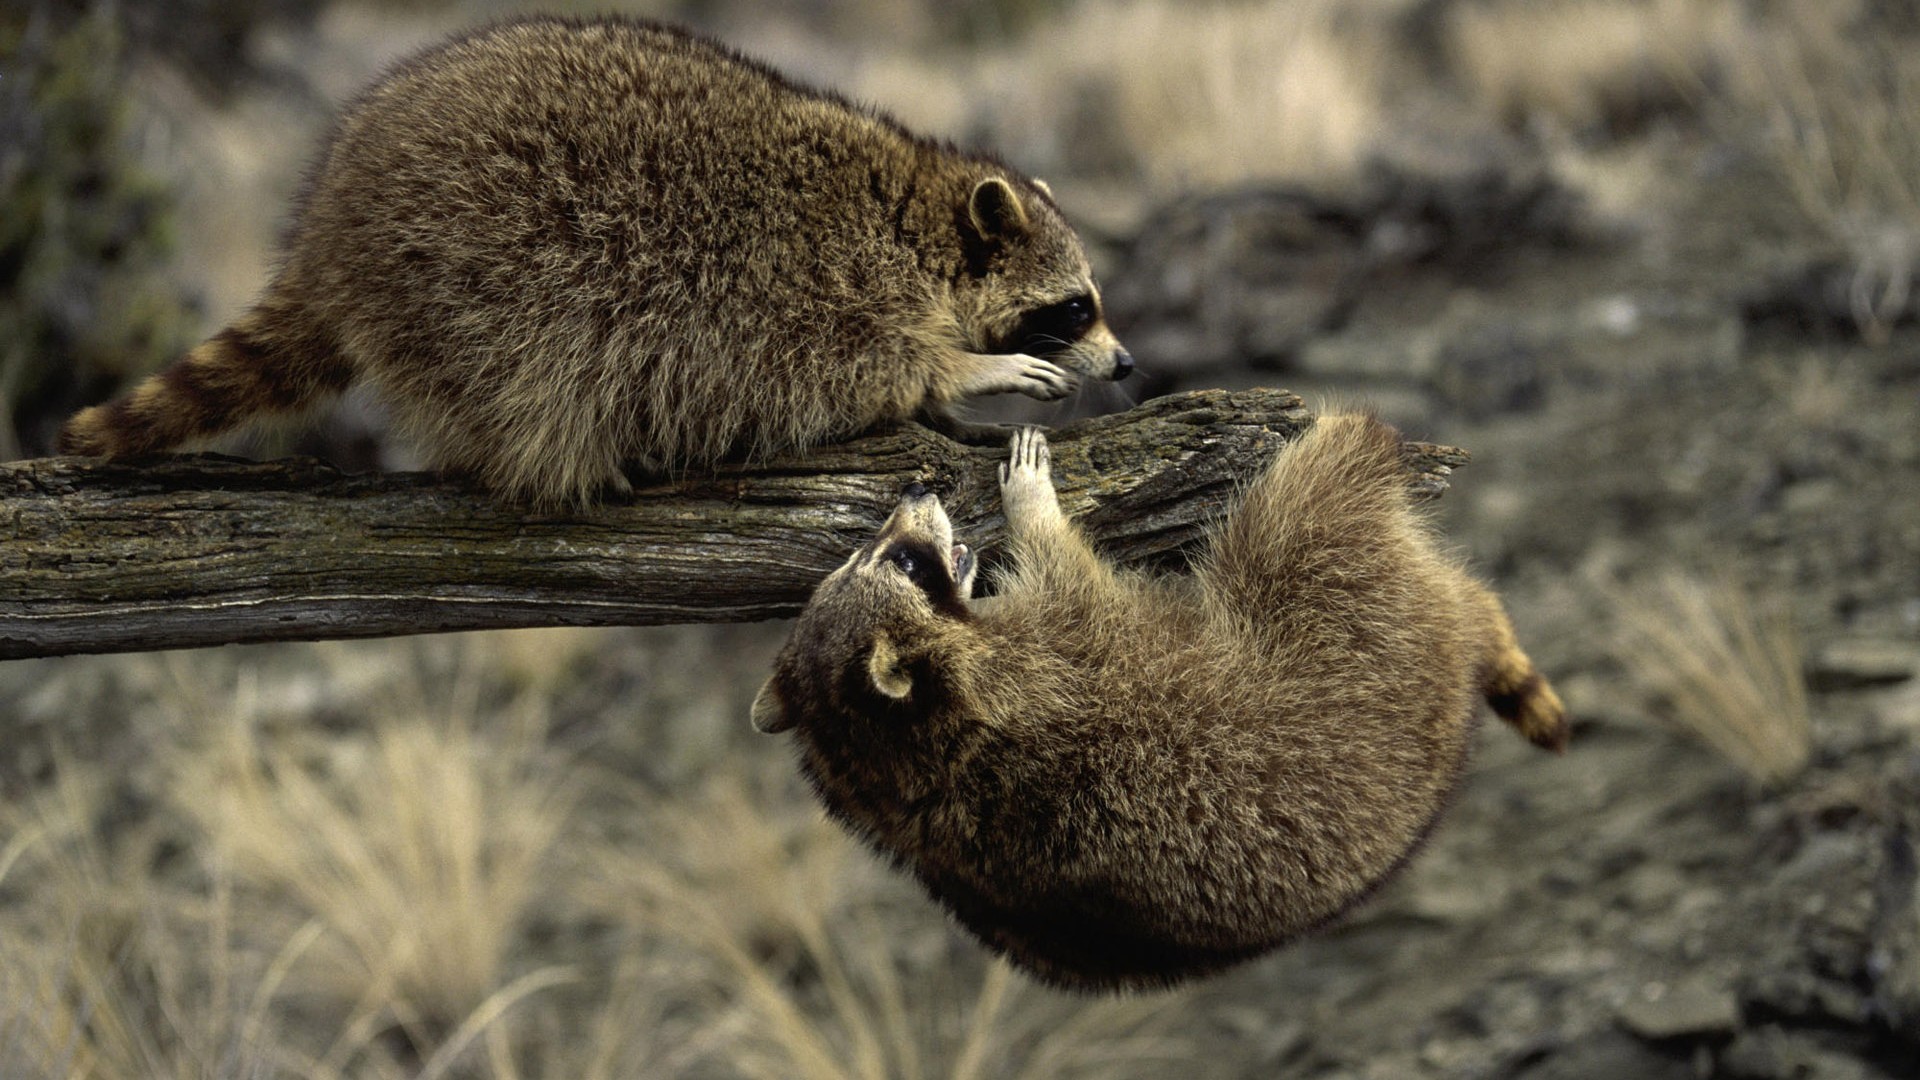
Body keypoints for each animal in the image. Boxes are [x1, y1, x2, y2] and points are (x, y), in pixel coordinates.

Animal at [60, 16, 1128, 503]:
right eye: (1076, 307)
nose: (1124, 364)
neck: (917, 218)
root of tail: (330, 226)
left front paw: (952, 400)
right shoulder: (806, 288)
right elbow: (844, 368)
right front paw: (962, 370)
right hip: (471, 273)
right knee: (526, 373)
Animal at [752, 417, 1574, 991]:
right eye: (902, 561)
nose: (916, 494)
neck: (886, 755)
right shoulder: (1055, 654)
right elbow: (1067, 568)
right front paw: (1033, 506)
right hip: (1358, 627)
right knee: (1300, 516)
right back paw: (1348, 441)